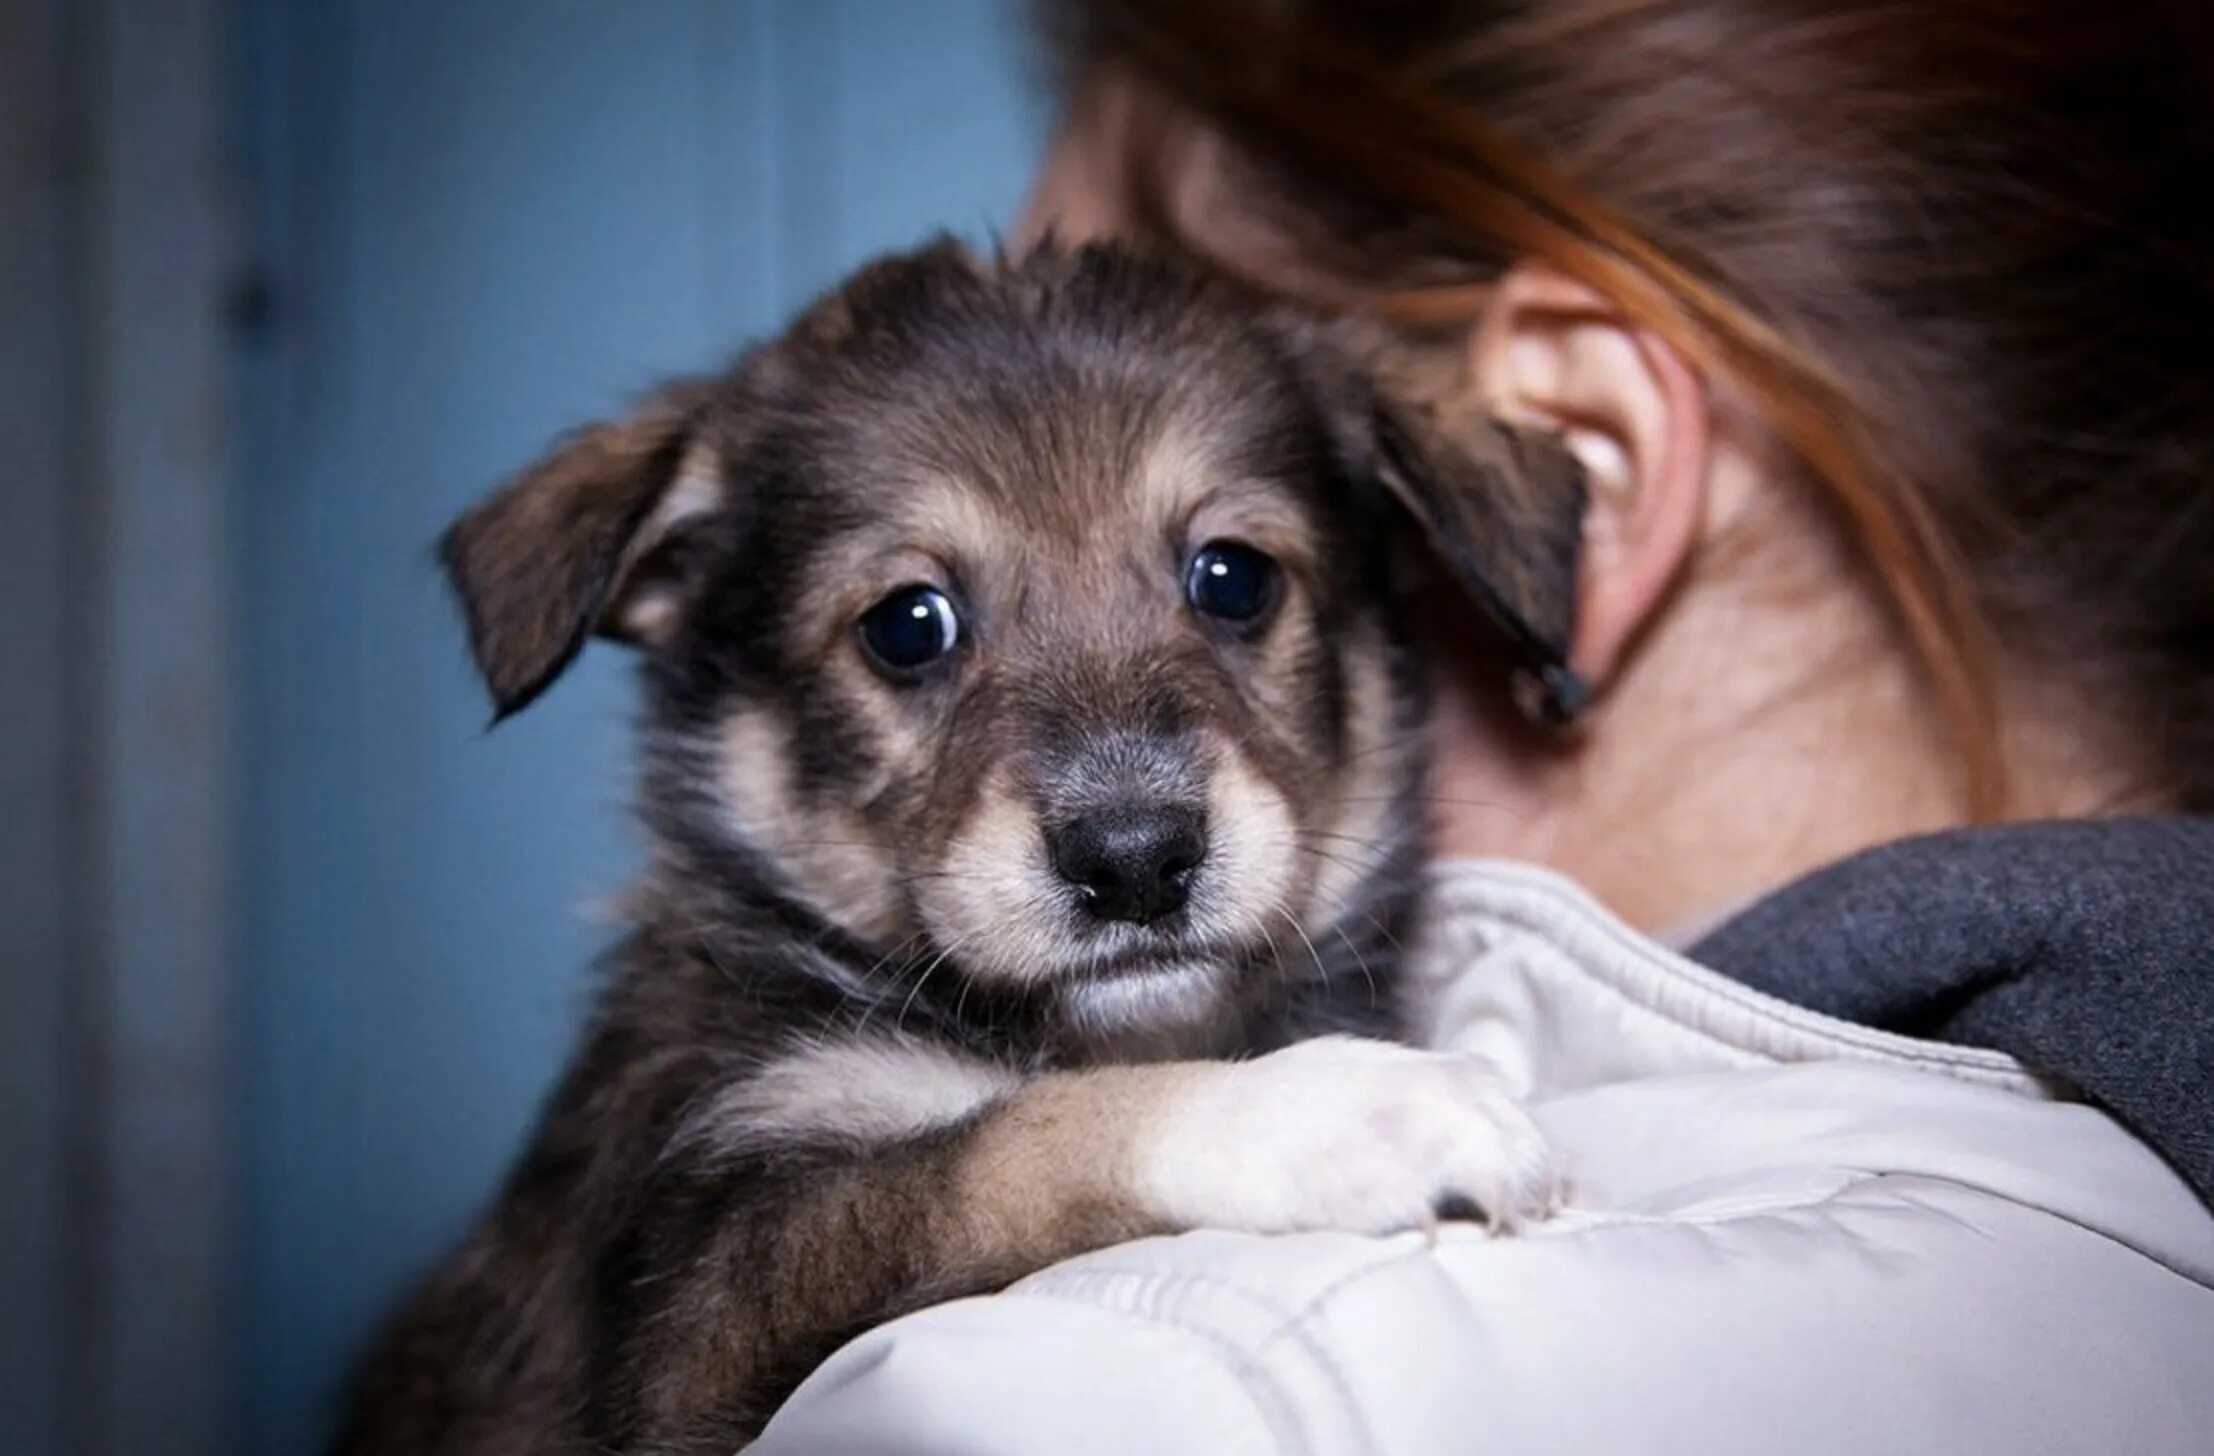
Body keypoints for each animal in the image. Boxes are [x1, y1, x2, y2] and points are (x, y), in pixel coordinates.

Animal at [336, 237, 1594, 1451]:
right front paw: (1343, 1114)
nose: (1134, 857)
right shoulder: (697, 1316)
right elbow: (1015, 1140)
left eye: (1234, 578)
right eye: (908, 625)